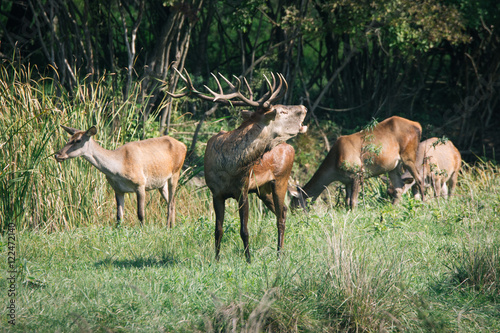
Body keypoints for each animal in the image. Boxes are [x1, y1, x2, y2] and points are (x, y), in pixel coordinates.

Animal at [54, 126, 187, 227]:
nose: (57, 155)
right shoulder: (117, 189)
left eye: (78, 140)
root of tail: (184, 145)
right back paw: (172, 226)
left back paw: (168, 227)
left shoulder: (140, 183)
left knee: (171, 202)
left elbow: (140, 214)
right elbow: (119, 216)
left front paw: (143, 231)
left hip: (176, 172)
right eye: (69, 138)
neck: (118, 168)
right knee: (172, 201)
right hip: (161, 183)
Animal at [170, 69, 306, 262]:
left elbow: (244, 230)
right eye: (282, 111)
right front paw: (216, 259)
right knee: (284, 211)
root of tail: (290, 146)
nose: (304, 108)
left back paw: (279, 254)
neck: (229, 167)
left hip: (281, 178)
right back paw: (280, 252)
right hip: (263, 189)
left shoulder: (242, 189)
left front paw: (248, 259)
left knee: (280, 216)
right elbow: (218, 230)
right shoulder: (216, 193)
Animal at [290, 116, 426, 209]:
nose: (295, 215)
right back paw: (392, 208)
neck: (334, 167)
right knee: (399, 187)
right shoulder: (346, 180)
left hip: (408, 156)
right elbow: (347, 201)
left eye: (296, 204)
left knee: (419, 180)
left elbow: (353, 202)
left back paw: (424, 205)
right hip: (393, 167)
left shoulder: (357, 172)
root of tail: (418, 125)